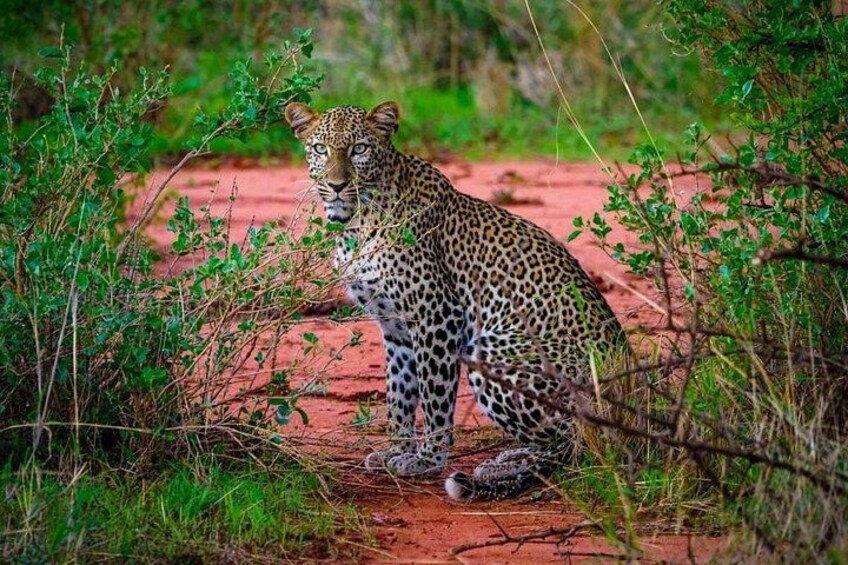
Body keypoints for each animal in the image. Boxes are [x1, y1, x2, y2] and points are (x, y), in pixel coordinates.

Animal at [284, 101, 628, 501]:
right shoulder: (396, 327)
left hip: (495, 351)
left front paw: (427, 459)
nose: (338, 185)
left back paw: (504, 466)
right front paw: (396, 452)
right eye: (320, 149)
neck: (358, 221)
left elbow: (434, 394)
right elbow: (399, 393)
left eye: (359, 149)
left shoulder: (437, 316)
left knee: (575, 444)